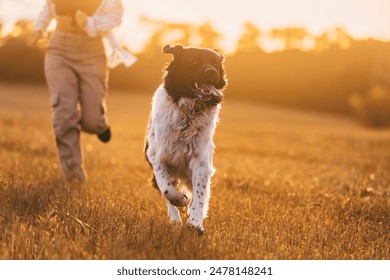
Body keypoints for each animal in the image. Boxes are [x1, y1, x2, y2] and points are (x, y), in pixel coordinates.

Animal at [145, 44, 227, 234]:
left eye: (214, 63)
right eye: (194, 62)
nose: (212, 72)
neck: (189, 113)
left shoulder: (201, 162)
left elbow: (199, 195)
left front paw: (195, 222)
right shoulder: (157, 157)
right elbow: (167, 190)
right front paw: (180, 200)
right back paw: (175, 218)